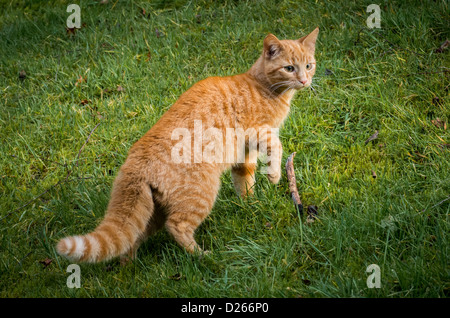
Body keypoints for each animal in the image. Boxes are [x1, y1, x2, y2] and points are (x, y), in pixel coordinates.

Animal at [57, 27, 320, 262]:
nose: (304, 80)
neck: (262, 85)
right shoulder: (259, 131)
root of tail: (135, 163)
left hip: (150, 212)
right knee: (177, 226)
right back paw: (203, 256)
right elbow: (277, 148)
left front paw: (251, 205)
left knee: (130, 239)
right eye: (289, 68)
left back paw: (128, 267)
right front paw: (274, 177)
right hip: (201, 193)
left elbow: (244, 179)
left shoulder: (243, 153)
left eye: (309, 65)